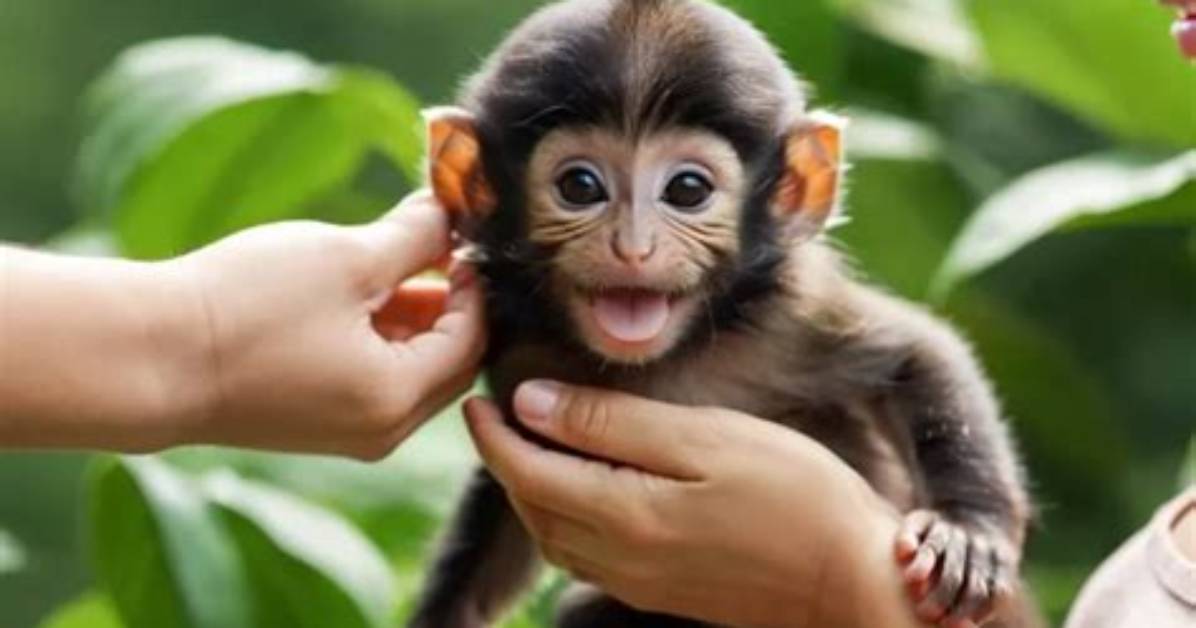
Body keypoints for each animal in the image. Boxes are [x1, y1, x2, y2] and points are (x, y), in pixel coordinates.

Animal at [409, 1, 1037, 627]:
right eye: (580, 186)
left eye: (687, 189)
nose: (633, 247)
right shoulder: (519, 347)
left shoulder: (794, 313)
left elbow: (920, 351)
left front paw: (967, 531)